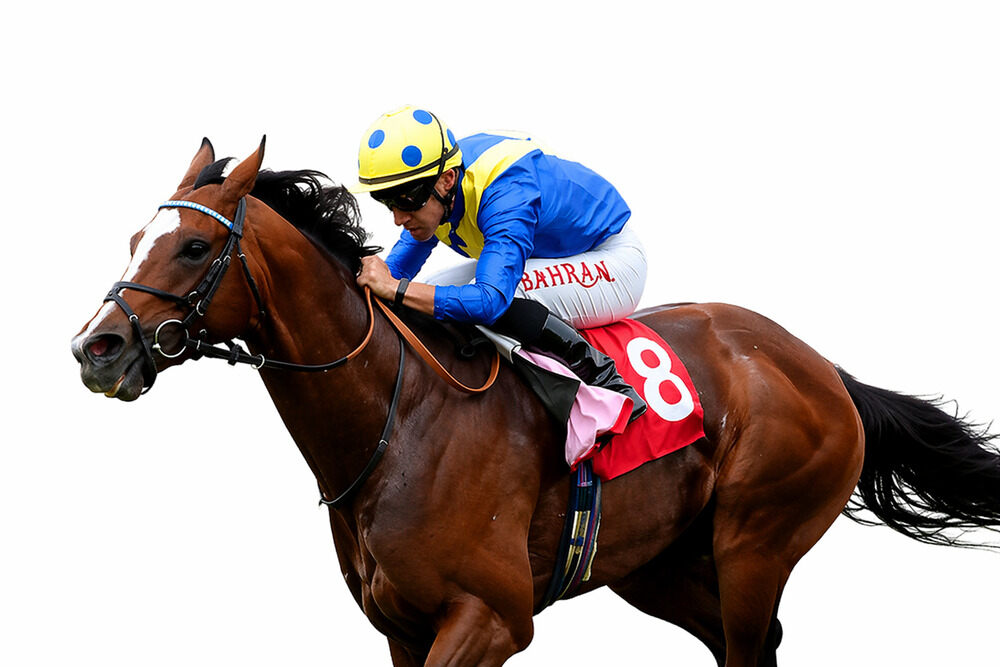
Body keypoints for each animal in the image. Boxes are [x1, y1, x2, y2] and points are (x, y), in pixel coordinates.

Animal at [71, 139, 1000, 666]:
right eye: (135, 239)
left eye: (194, 247)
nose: (95, 347)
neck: (397, 426)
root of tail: (820, 367)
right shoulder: (400, 627)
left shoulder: (490, 616)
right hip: (658, 562)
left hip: (756, 542)